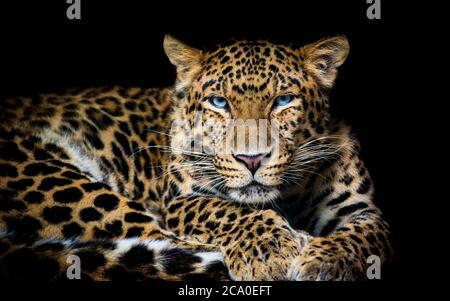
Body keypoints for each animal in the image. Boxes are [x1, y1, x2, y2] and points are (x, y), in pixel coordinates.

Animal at [0, 34, 390, 278]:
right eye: (219, 102)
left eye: (283, 101)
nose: (252, 159)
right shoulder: (184, 200)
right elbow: (230, 211)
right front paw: (272, 249)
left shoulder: (360, 209)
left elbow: (365, 237)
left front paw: (327, 263)